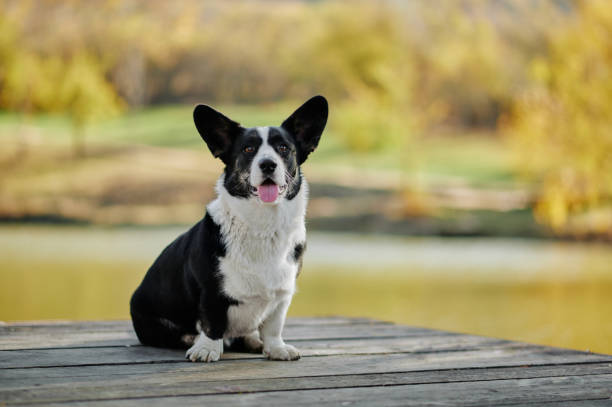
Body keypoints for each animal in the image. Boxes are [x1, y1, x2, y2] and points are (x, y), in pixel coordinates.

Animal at [130, 95, 330, 364]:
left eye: (283, 148)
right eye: (248, 149)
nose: (268, 164)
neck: (263, 225)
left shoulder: (282, 294)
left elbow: (274, 326)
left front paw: (276, 348)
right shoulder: (210, 291)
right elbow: (212, 322)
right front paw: (207, 349)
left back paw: (253, 341)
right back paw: (195, 340)